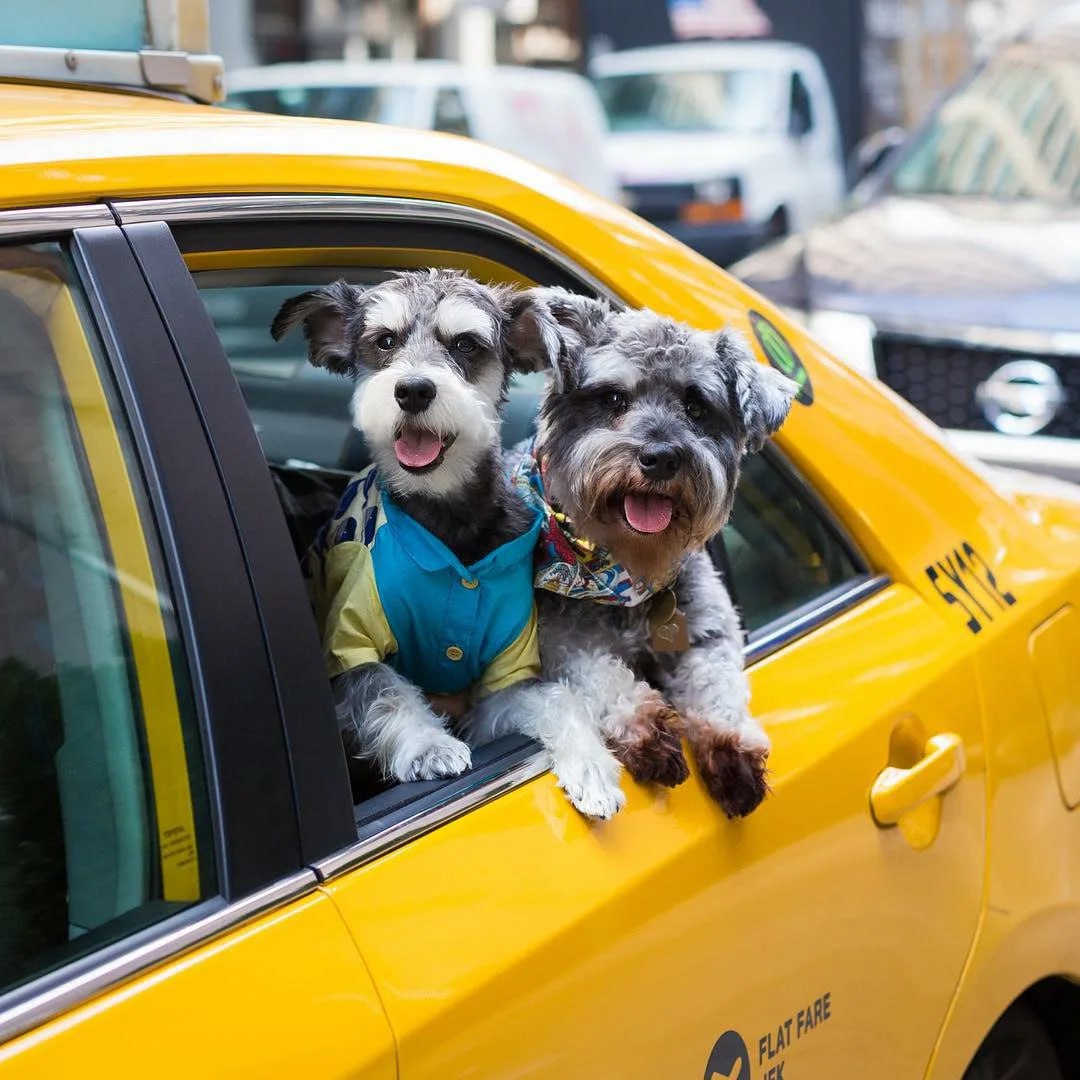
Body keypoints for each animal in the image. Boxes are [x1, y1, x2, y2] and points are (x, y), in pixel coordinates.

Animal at [270, 270, 574, 786]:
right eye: (385, 341)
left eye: (466, 344)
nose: (413, 390)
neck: (447, 513)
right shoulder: (352, 645)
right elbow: (387, 691)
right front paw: (429, 745)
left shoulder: (507, 667)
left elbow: (545, 703)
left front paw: (591, 762)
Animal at [464, 287, 803, 816]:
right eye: (613, 398)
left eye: (697, 408)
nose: (660, 457)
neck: (624, 568)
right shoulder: (564, 642)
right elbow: (603, 677)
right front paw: (646, 729)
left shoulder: (711, 631)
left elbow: (717, 687)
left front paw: (730, 751)